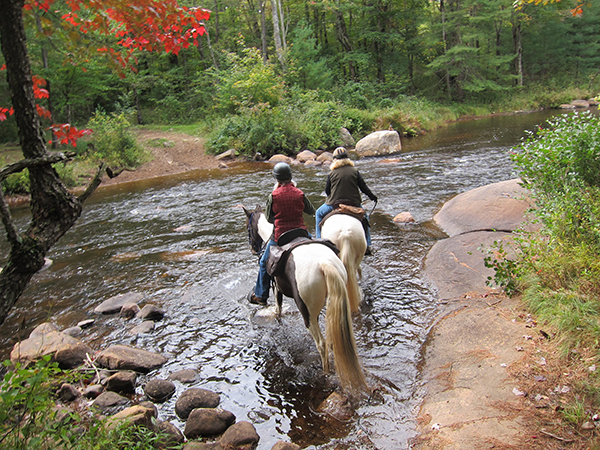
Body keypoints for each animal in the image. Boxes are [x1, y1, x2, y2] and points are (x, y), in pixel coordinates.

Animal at [243, 206, 366, 392]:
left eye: (248, 228)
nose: (252, 249)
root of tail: (324, 264)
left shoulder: (276, 287)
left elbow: (278, 309)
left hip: (308, 312)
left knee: (321, 344)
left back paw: (324, 373)